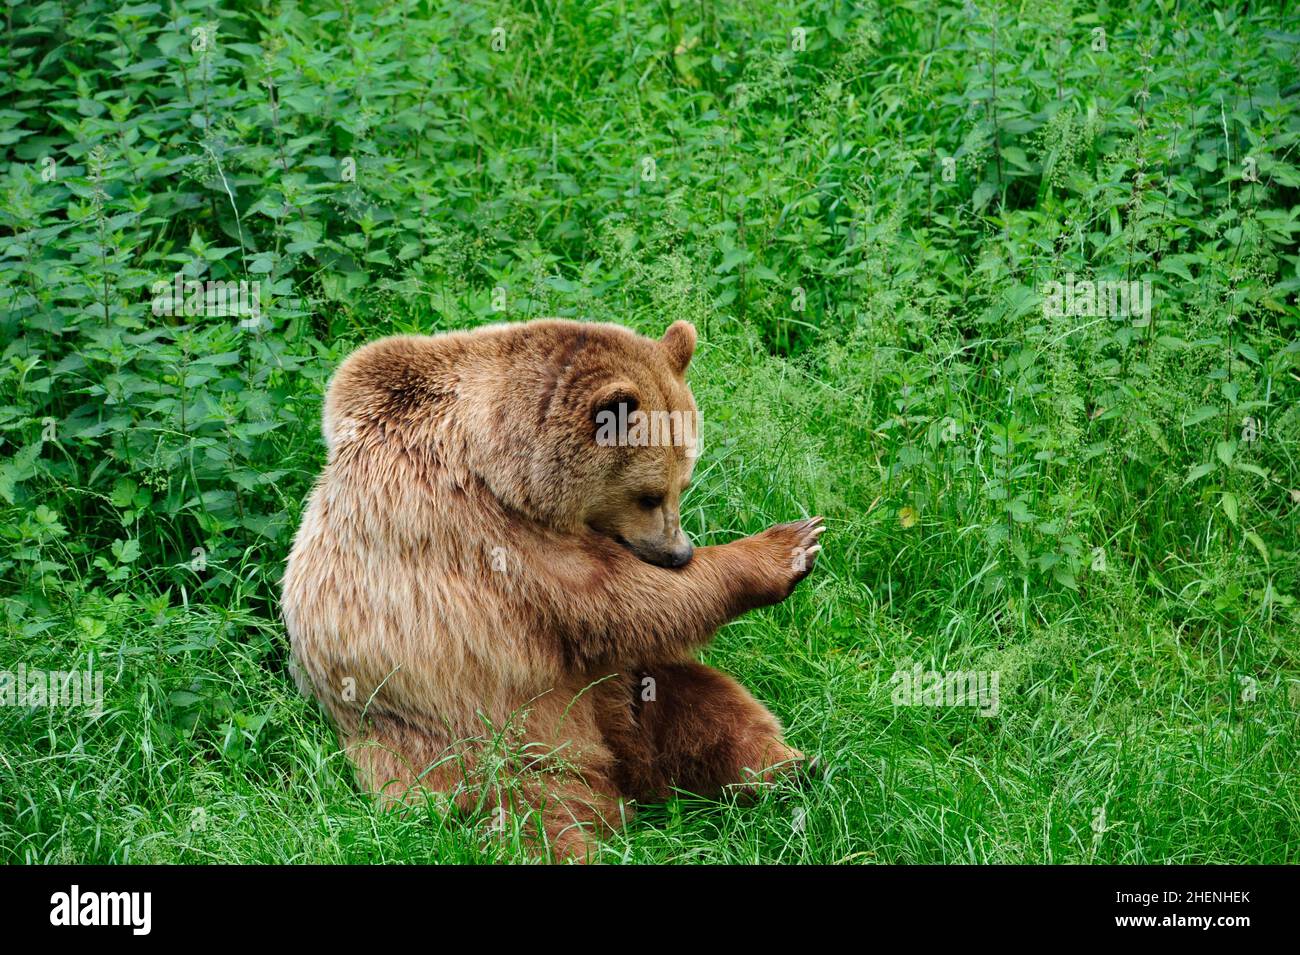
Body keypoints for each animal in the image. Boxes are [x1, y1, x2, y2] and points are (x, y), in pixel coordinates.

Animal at [281, 318, 825, 861]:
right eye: (649, 495)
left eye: (683, 482)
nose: (679, 554)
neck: (496, 462)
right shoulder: (479, 531)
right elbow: (617, 598)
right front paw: (789, 547)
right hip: (477, 749)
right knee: (536, 816)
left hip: (613, 700)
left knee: (699, 707)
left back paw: (790, 770)